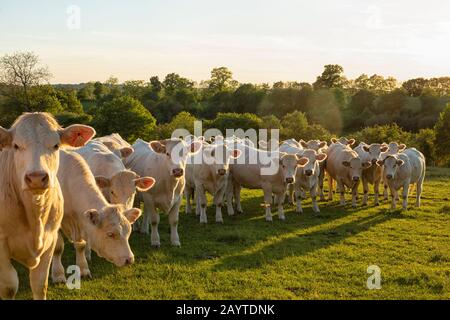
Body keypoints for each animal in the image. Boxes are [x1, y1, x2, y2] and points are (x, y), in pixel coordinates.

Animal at [0, 113, 94, 300]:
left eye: (56, 145)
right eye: (16, 146)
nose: (36, 178)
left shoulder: (49, 240)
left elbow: (39, 285)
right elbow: (9, 287)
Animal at [51, 149, 145, 282]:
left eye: (128, 232)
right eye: (110, 234)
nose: (129, 259)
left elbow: (80, 246)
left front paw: (83, 269)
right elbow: (58, 247)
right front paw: (58, 275)